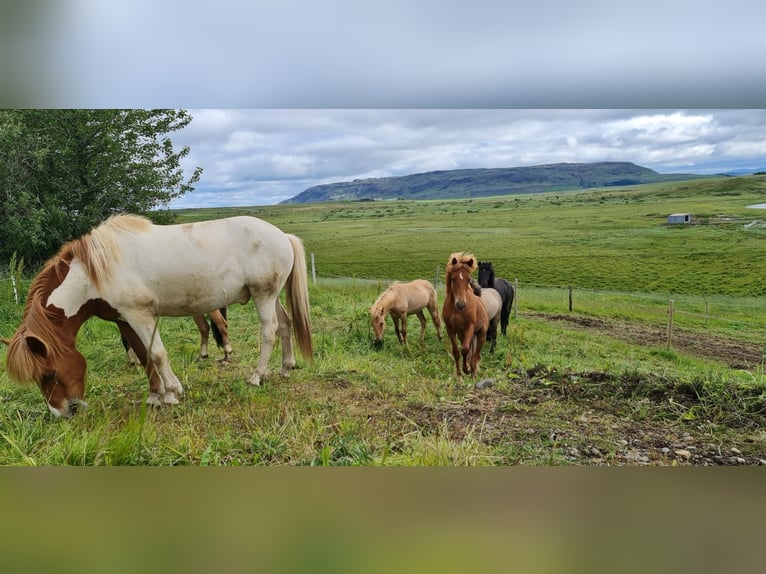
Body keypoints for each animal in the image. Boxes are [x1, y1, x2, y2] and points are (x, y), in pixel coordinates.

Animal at [2, 214, 313, 417]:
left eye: (49, 373)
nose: (64, 412)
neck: (94, 273)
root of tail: (283, 236)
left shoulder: (141, 315)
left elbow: (157, 354)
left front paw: (172, 393)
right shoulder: (125, 319)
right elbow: (143, 354)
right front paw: (155, 396)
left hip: (264, 296)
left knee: (269, 331)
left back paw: (256, 377)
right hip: (271, 296)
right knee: (285, 324)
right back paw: (286, 367)